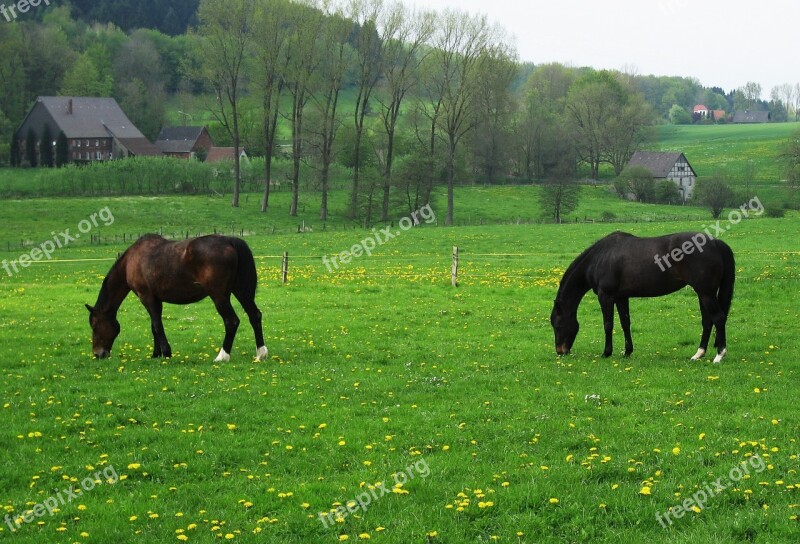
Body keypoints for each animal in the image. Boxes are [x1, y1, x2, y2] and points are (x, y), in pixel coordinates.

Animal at [86, 233, 268, 362]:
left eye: (94, 326)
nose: (98, 354)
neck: (132, 261)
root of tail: (229, 241)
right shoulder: (156, 299)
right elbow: (154, 326)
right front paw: (156, 353)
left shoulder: (147, 297)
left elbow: (157, 325)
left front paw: (166, 353)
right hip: (241, 292)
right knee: (255, 316)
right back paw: (261, 353)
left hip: (218, 295)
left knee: (232, 321)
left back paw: (222, 356)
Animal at [552, 232, 736, 364]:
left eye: (557, 324)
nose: (560, 351)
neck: (600, 258)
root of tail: (715, 243)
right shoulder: (621, 297)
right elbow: (625, 323)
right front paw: (627, 352)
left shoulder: (606, 296)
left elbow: (608, 324)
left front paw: (606, 352)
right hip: (703, 294)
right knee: (707, 321)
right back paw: (698, 354)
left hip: (706, 294)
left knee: (718, 318)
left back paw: (719, 355)